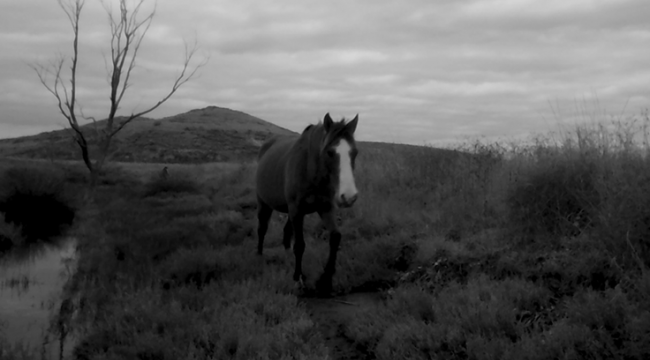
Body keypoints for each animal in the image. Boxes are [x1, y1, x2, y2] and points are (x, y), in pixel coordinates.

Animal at [254, 114, 356, 294]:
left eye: (355, 153)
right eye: (330, 152)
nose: (349, 196)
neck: (310, 171)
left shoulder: (325, 208)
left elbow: (335, 237)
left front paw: (326, 280)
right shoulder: (297, 210)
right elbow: (300, 245)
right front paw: (298, 278)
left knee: (287, 231)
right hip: (264, 203)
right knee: (262, 228)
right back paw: (259, 255)